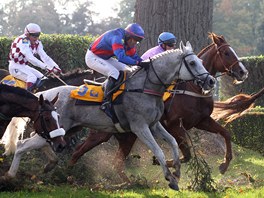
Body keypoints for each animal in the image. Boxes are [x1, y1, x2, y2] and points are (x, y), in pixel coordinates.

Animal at [67, 32, 249, 183]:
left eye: (202, 62)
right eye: (226, 53)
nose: (243, 72)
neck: (191, 89)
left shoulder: (202, 121)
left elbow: (225, 133)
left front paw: (224, 164)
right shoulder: (175, 125)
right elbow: (187, 154)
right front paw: (165, 164)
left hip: (127, 136)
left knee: (116, 162)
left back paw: (131, 182)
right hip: (102, 133)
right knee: (78, 151)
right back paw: (70, 175)